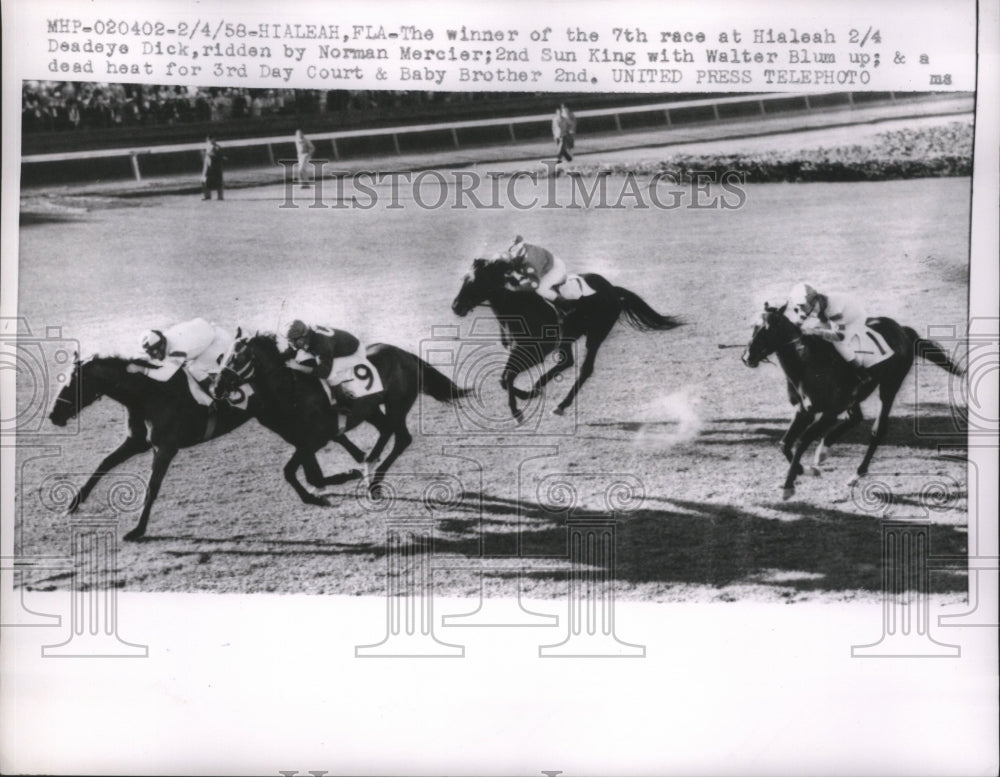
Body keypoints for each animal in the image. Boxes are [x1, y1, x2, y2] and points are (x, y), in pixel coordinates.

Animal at [48, 354, 256, 540]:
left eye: (76, 382)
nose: (53, 415)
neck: (149, 394)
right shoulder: (136, 442)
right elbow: (104, 463)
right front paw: (73, 503)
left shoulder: (165, 449)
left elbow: (151, 488)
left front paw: (138, 529)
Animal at [211, 334, 468, 498]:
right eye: (221, 357)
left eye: (238, 358)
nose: (217, 387)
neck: (289, 392)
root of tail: (404, 353)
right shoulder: (303, 443)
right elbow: (304, 474)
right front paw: (323, 489)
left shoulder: (315, 440)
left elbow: (299, 473)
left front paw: (342, 477)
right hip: (371, 408)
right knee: (386, 430)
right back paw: (368, 464)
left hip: (397, 404)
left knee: (402, 438)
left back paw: (373, 480)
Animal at [452, 258, 680, 422]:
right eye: (464, 279)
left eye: (474, 281)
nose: (455, 306)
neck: (523, 304)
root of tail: (612, 288)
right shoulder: (521, 347)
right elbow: (503, 378)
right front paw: (527, 395)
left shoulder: (537, 350)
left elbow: (508, 377)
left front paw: (518, 411)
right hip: (569, 337)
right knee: (567, 361)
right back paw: (539, 386)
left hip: (596, 335)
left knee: (585, 369)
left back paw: (561, 404)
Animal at [744, 302, 960, 498]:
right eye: (753, 326)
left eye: (767, 329)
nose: (747, 357)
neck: (807, 363)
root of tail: (903, 331)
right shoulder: (804, 411)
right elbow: (784, 443)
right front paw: (802, 470)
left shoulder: (830, 412)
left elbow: (802, 441)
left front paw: (789, 485)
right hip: (857, 395)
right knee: (855, 417)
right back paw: (823, 451)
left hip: (889, 386)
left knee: (877, 430)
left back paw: (856, 473)